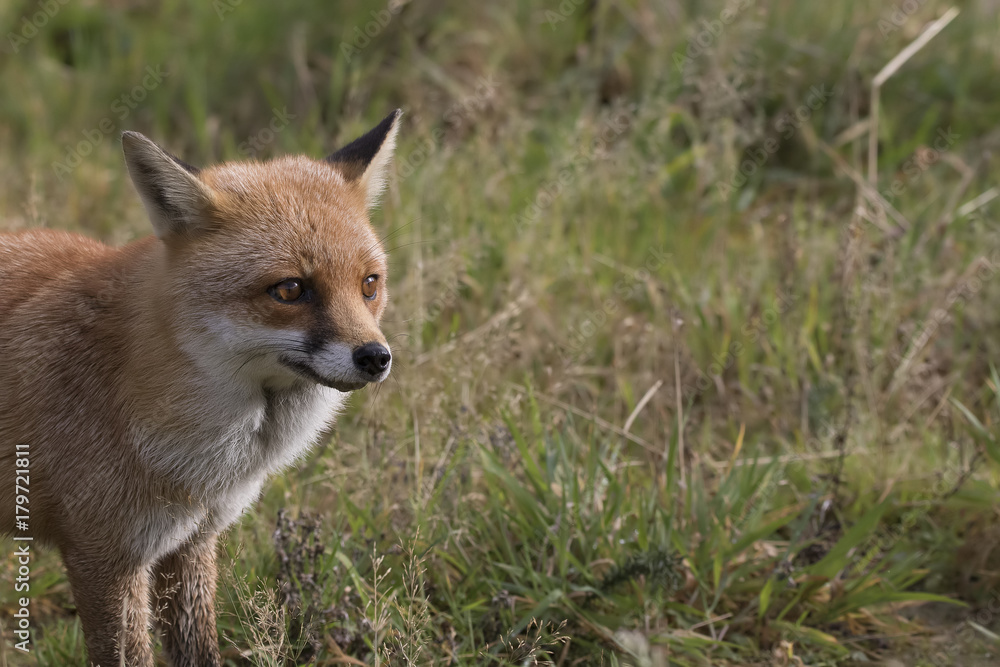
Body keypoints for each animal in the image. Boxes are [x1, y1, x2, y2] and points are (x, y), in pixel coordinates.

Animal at [0, 110, 402, 666]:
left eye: (369, 284)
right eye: (290, 289)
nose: (376, 358)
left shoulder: (189, 544)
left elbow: (199, 649)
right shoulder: (103, 557)